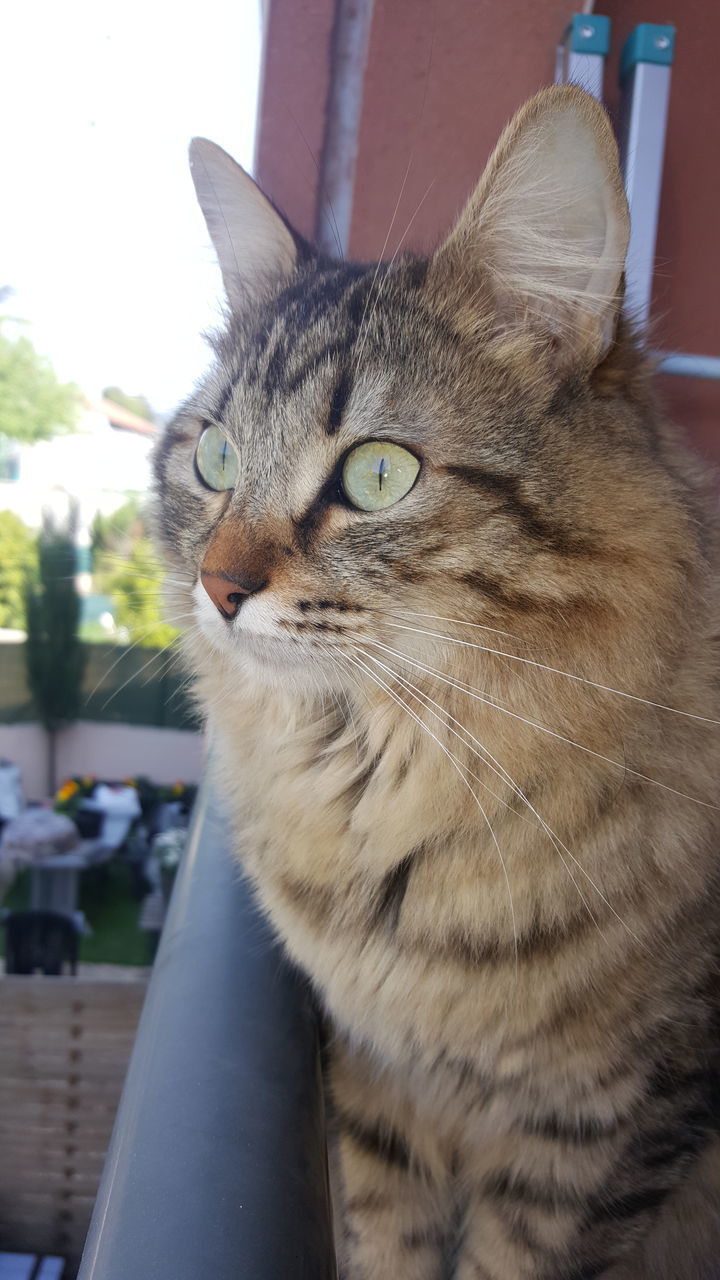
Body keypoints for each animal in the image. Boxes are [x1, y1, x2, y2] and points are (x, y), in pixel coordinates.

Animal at [154, 90, 717, 1280]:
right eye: (215, 457)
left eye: (378, 474)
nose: (220, 588)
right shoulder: (377, 1082)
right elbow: (390, 1243)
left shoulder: (600, 1129)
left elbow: (511, 1261)